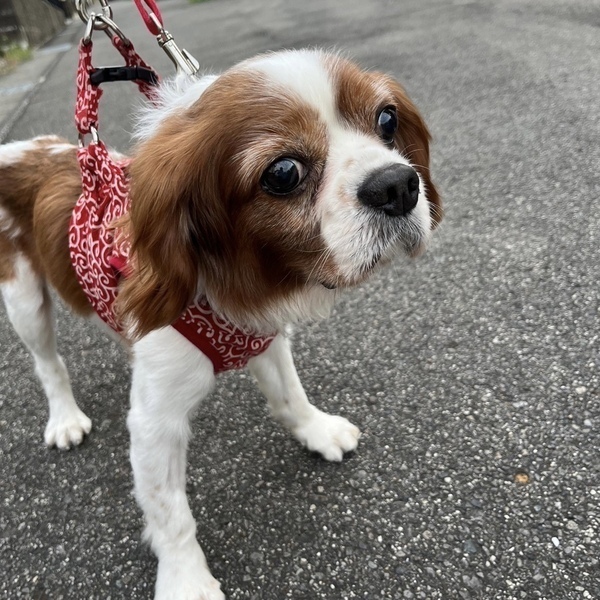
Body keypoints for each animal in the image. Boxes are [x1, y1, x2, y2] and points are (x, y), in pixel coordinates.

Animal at [0, 49, 441, 599]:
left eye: (387, 120)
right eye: (283, 172)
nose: (398, 184)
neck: (229, 276)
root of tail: (20, 152)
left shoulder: (264, 336)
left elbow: (290, 395)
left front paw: (315, 430)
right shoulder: (155, 425)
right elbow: (170, 512)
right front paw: (186, 578)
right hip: (23, 301)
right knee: (48, 363)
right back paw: (64, 417)